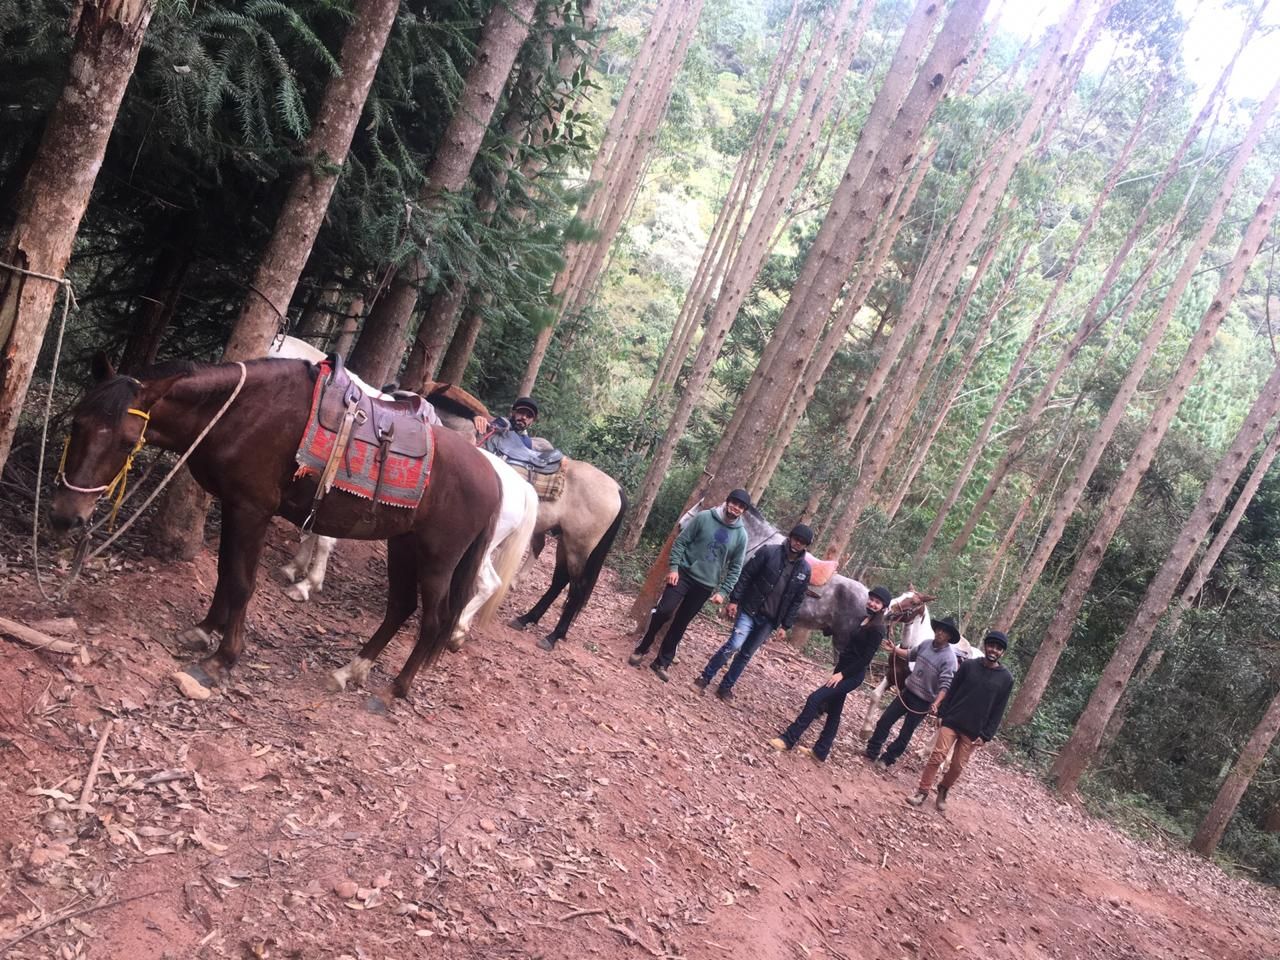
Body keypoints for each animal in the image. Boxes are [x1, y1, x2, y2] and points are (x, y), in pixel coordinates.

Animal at [49, 358, 501, 701]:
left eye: (127, 441)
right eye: (76, 424)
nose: (65, 516)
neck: (243, 413)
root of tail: (494, 479)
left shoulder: (253, 509)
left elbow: (242, 581)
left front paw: (223, 658)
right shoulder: (233, 505)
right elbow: (225, 572)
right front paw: (204, 630)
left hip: (437, 559)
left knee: (433, 620)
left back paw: (395, 689)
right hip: (403, 546)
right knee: (400, 607)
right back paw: (349, 671)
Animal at [264, 335, 535, 650]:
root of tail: (521, 488)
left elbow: (323, 538)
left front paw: (307, 584)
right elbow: (310, 530)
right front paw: (294, 569)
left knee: (486, 584)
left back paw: (456, 631)